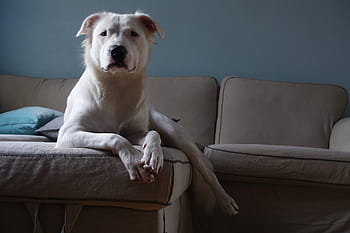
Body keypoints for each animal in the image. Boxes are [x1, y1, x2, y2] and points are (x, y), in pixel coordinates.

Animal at [56, 10, 239, 215]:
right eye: (103, 33)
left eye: (133, 34)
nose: (117, 50)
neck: (116, 86)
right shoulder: (68, 134)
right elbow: (115, 137)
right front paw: (135, 162)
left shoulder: (136, 132)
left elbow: (152, 133)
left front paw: (153, 153)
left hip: (178, 135)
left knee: (205, 170)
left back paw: (225, 200)